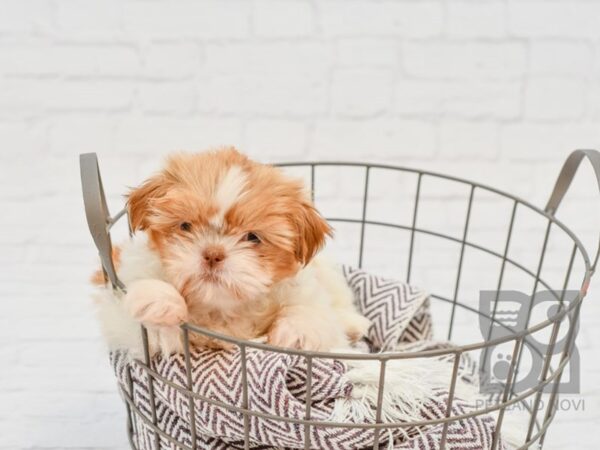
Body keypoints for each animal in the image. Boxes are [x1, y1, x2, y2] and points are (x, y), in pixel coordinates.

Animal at [92, 148, 370, 356]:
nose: (213, 254)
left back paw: (354, 323)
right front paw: (160, 300)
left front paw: (296, 331)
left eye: (252, 237)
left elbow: (314, 313)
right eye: (185, 226)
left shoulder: (308, 292)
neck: (220, 310)